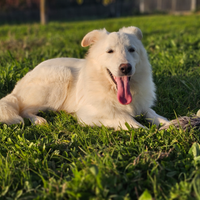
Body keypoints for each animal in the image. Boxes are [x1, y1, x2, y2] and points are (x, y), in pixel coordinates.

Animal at [0, 26, 169, 130]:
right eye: (110, 51)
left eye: (131, 50)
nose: (125, 68)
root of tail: (17, 87)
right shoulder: (88, 115)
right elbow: (125, 118)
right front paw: (146, 130)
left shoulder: (142, 106)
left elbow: (154, 114)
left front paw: (168, 124)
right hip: (61, 76)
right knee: (24, 110)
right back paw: (39, 120)